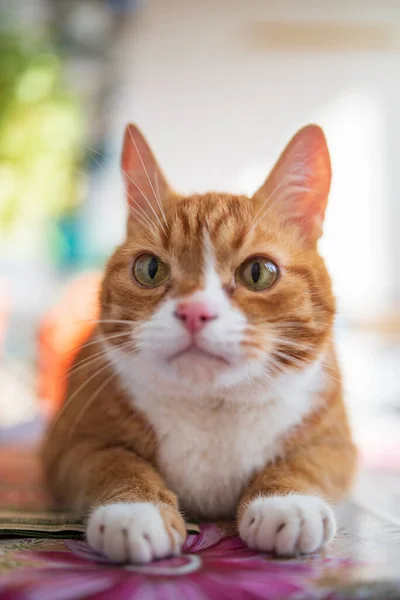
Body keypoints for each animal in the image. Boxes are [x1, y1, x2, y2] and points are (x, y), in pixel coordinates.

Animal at [42, 124, 358, 564]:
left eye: (258, 272)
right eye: (150, 269)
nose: (195, 312)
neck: (213, 407)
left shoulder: (336, 444)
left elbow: (304, 464)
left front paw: (286, 502)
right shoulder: (68, 445)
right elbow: (115, 463)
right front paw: (135, 511)